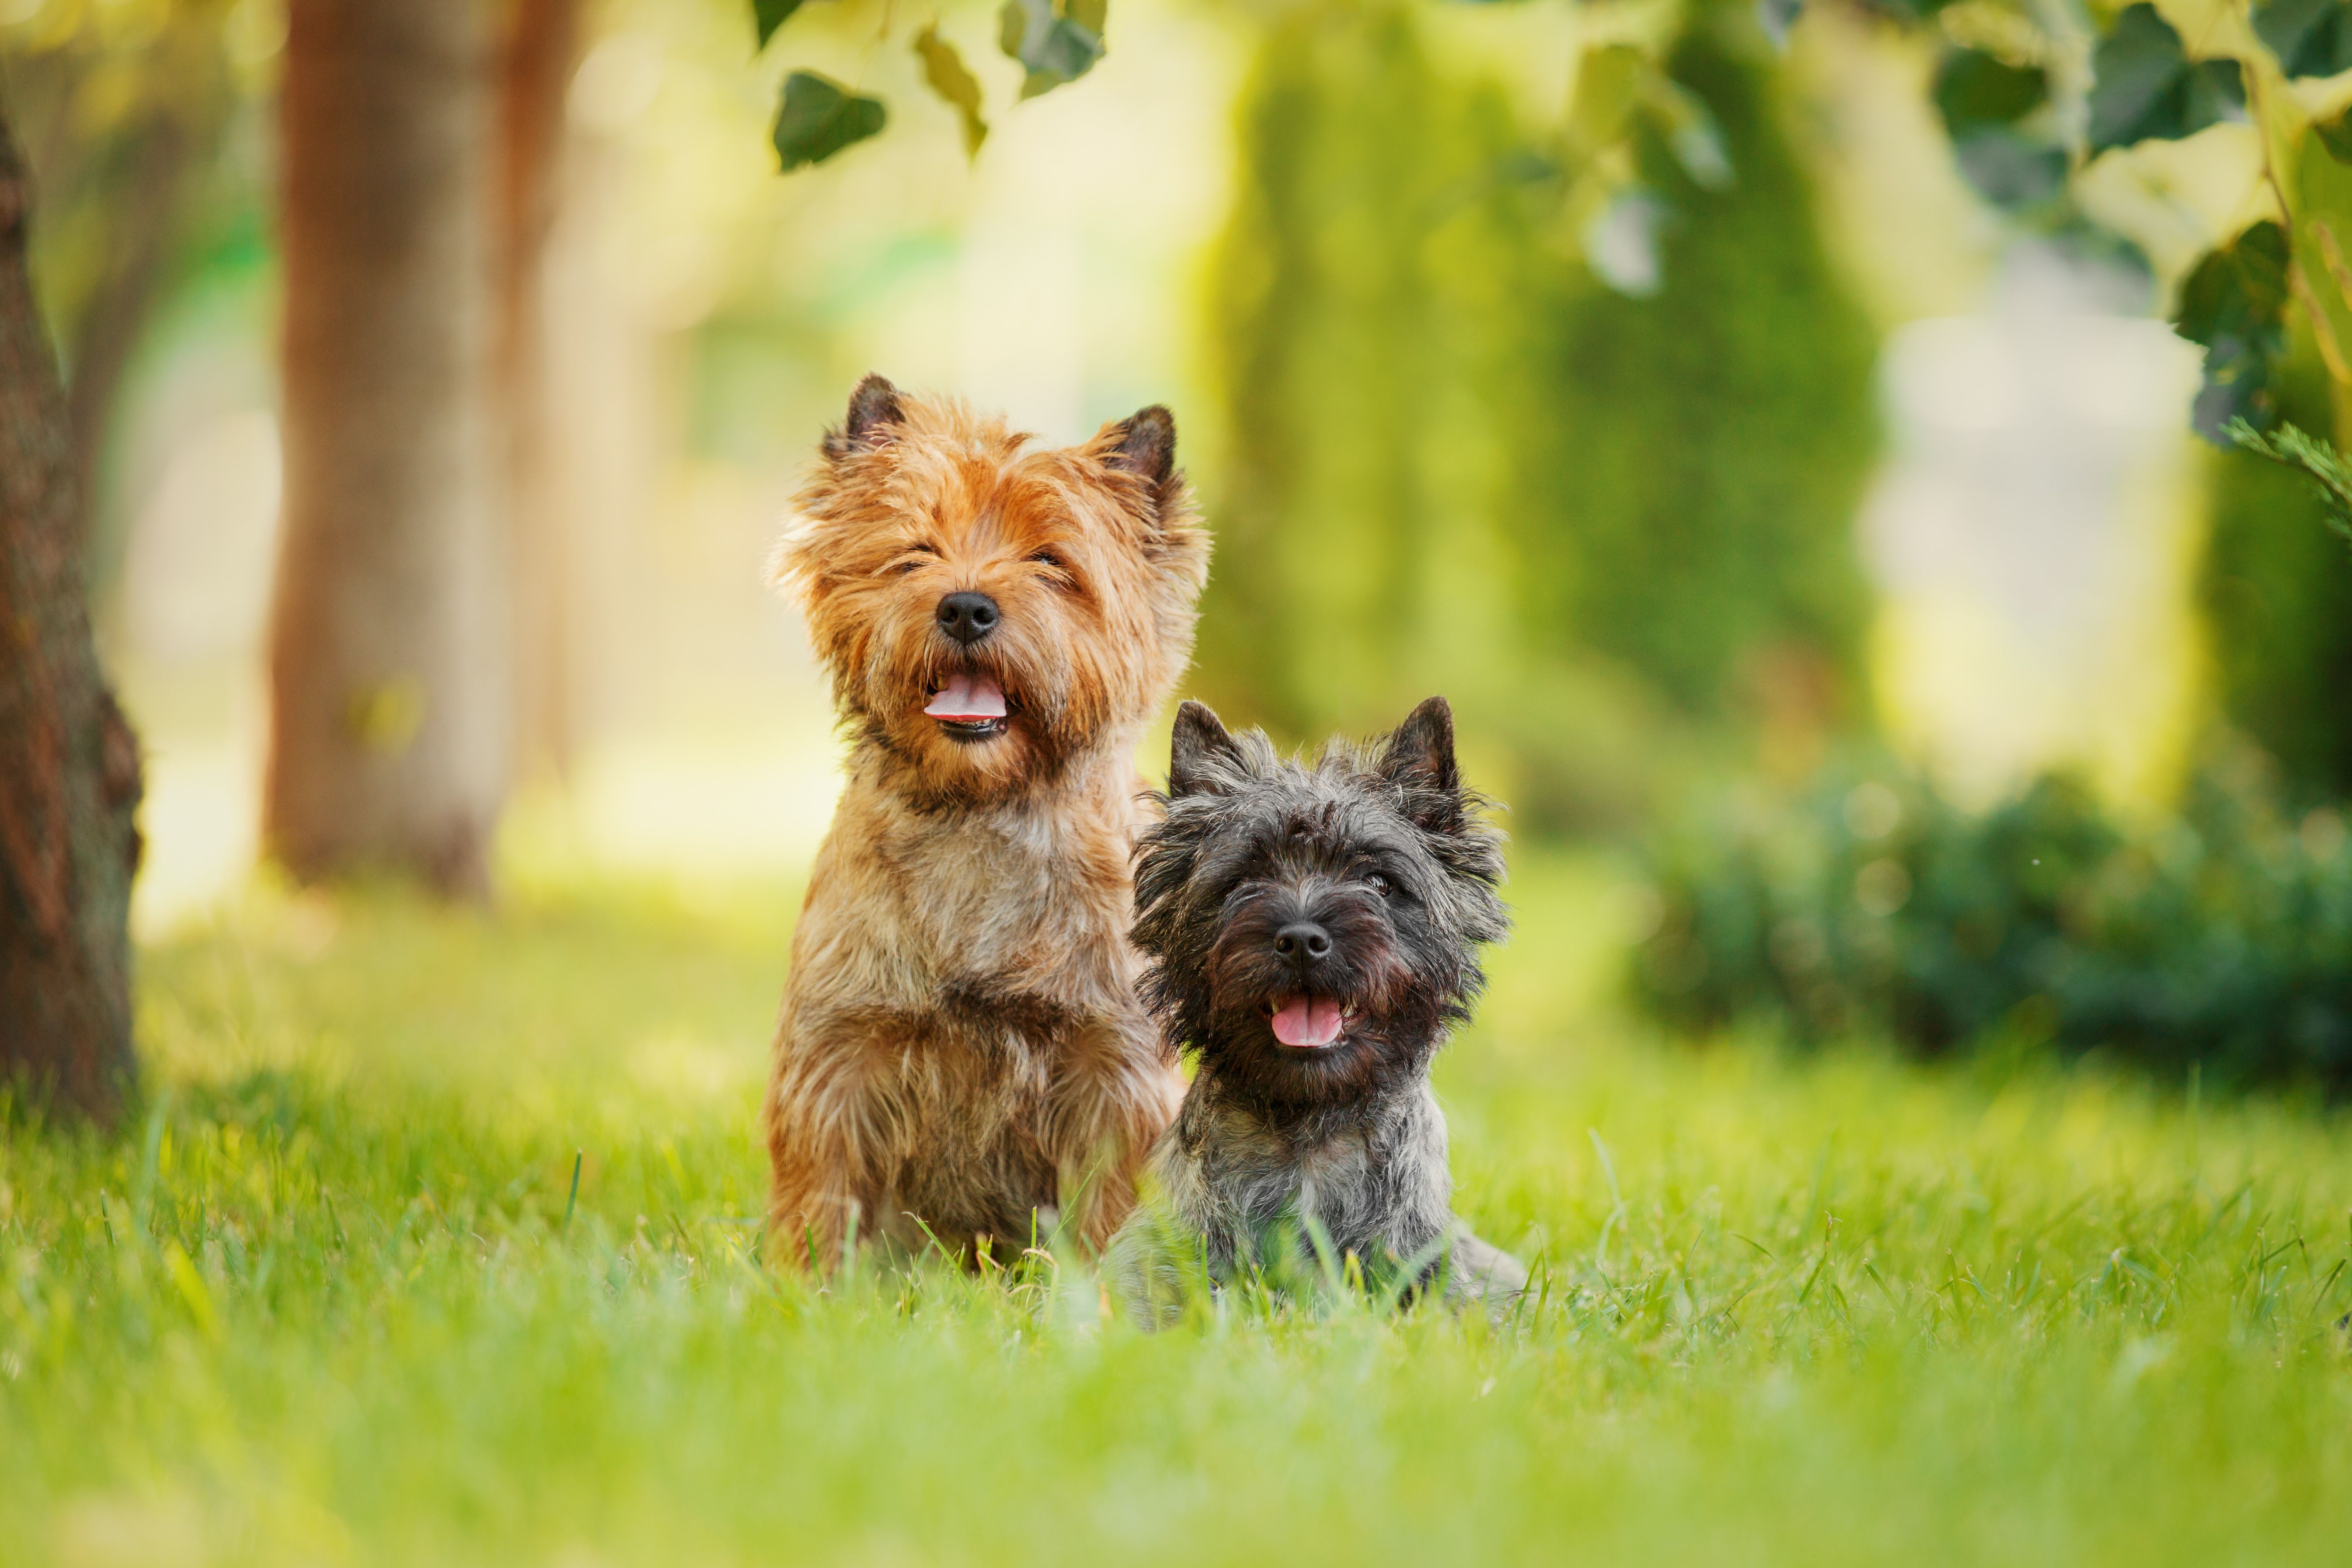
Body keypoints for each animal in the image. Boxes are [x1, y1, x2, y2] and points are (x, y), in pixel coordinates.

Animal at [767, 376, 1213, 1279]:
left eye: (1052, 562)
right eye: (915, 553)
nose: (966, 607)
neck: (980, 815)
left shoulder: (1110, 1067)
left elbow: (1111, 1205)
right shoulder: (841, 1050)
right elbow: (823, 1189)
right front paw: (811, 1287)